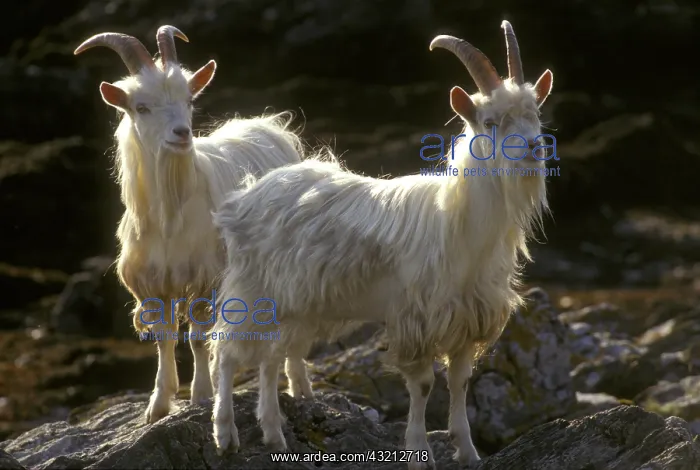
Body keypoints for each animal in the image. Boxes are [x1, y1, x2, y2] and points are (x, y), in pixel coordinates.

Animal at [74, 25, 316, 424]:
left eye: (189, 99)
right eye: (141, 107)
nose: (181, 133)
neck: (170, 219)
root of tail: (268, 125)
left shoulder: (205, 275)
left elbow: (198, 336)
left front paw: (202, 395)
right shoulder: (153, 281)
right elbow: (164, 337)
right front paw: (159, 403)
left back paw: (300, 388)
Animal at [209, 20, 554, 469]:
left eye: (535, 113)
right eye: (491, 120)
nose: (534, 147)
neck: (460, 228)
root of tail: (246, 196)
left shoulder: (467, 319)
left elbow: (460, 383)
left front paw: (467, 450)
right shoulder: (416, 319)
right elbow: (423, 385)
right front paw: (420, 452)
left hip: (294, 303)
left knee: (269, 358)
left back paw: (273, 436)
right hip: (254, 290)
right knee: (226, 351)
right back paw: (225, 434)